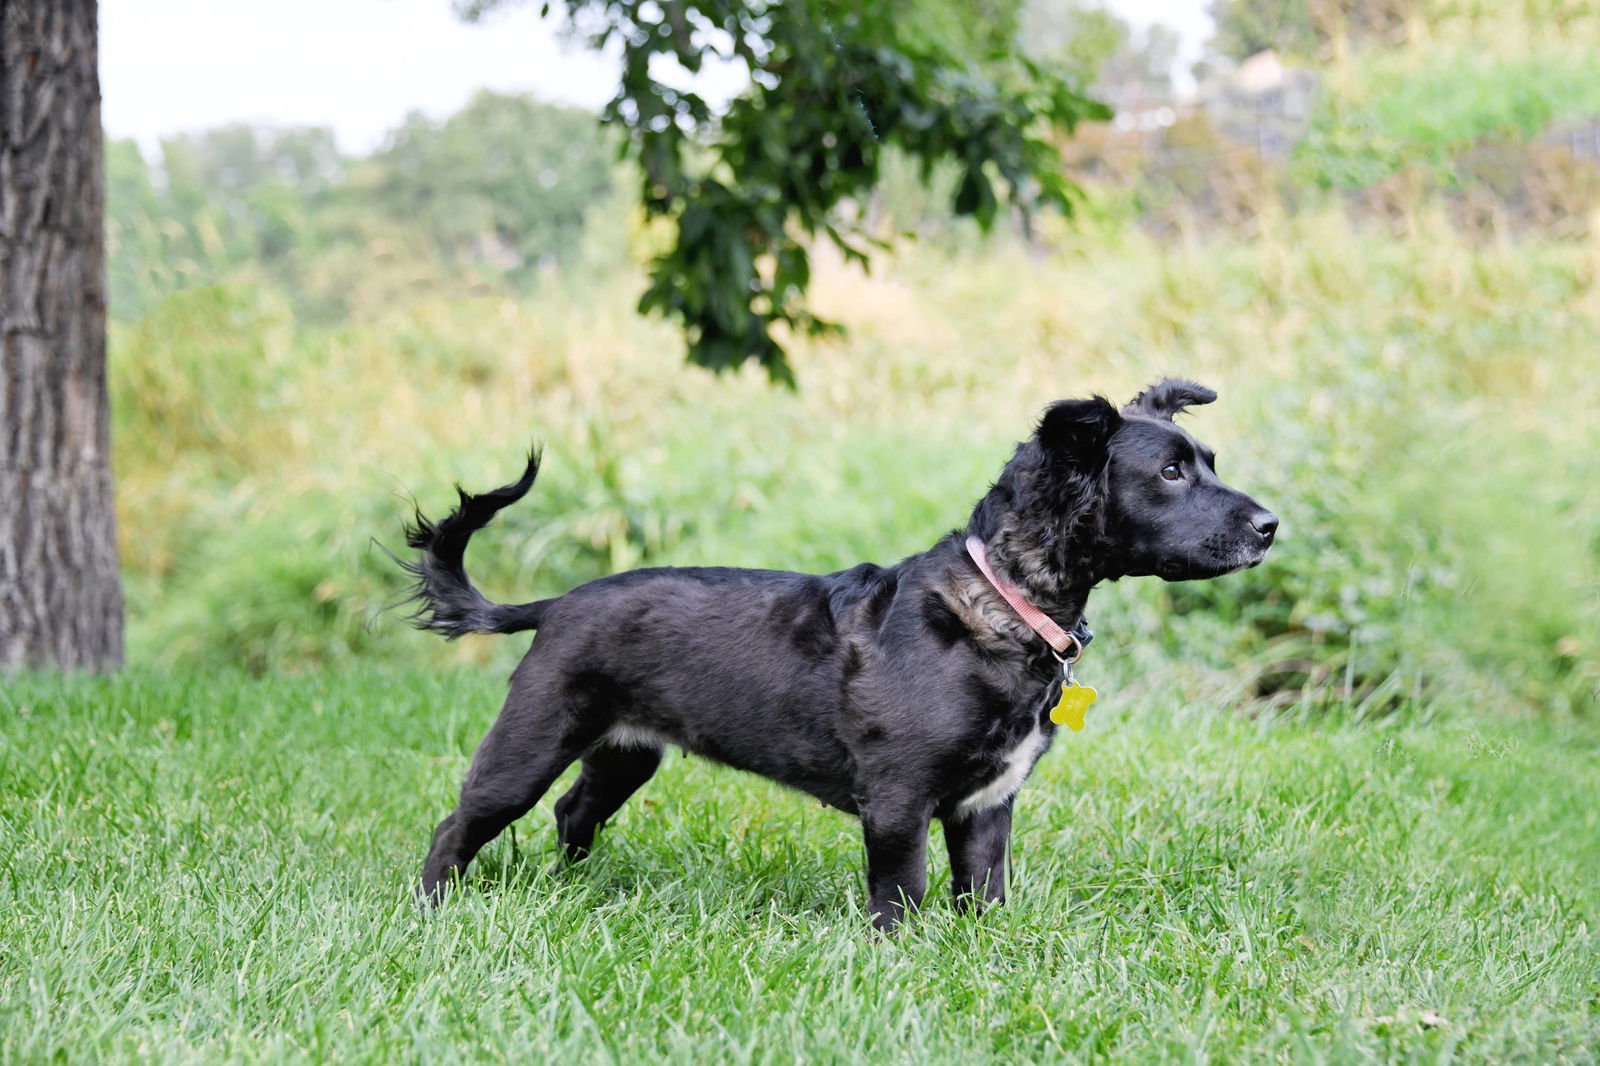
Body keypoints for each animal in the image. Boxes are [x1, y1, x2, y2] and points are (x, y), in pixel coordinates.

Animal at [400, 377, 1273, 928]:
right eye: (1170, 471)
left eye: (1208, 462)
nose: (1271, 525)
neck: (1000, 602)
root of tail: (557, 603)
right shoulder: (898, 802)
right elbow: (903, 899)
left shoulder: (987, 807)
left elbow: (984, 899)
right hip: (529, 742)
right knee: (457, 826)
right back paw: (434, 912)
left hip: (623, 755)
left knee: (572, 813)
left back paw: (572, 889)